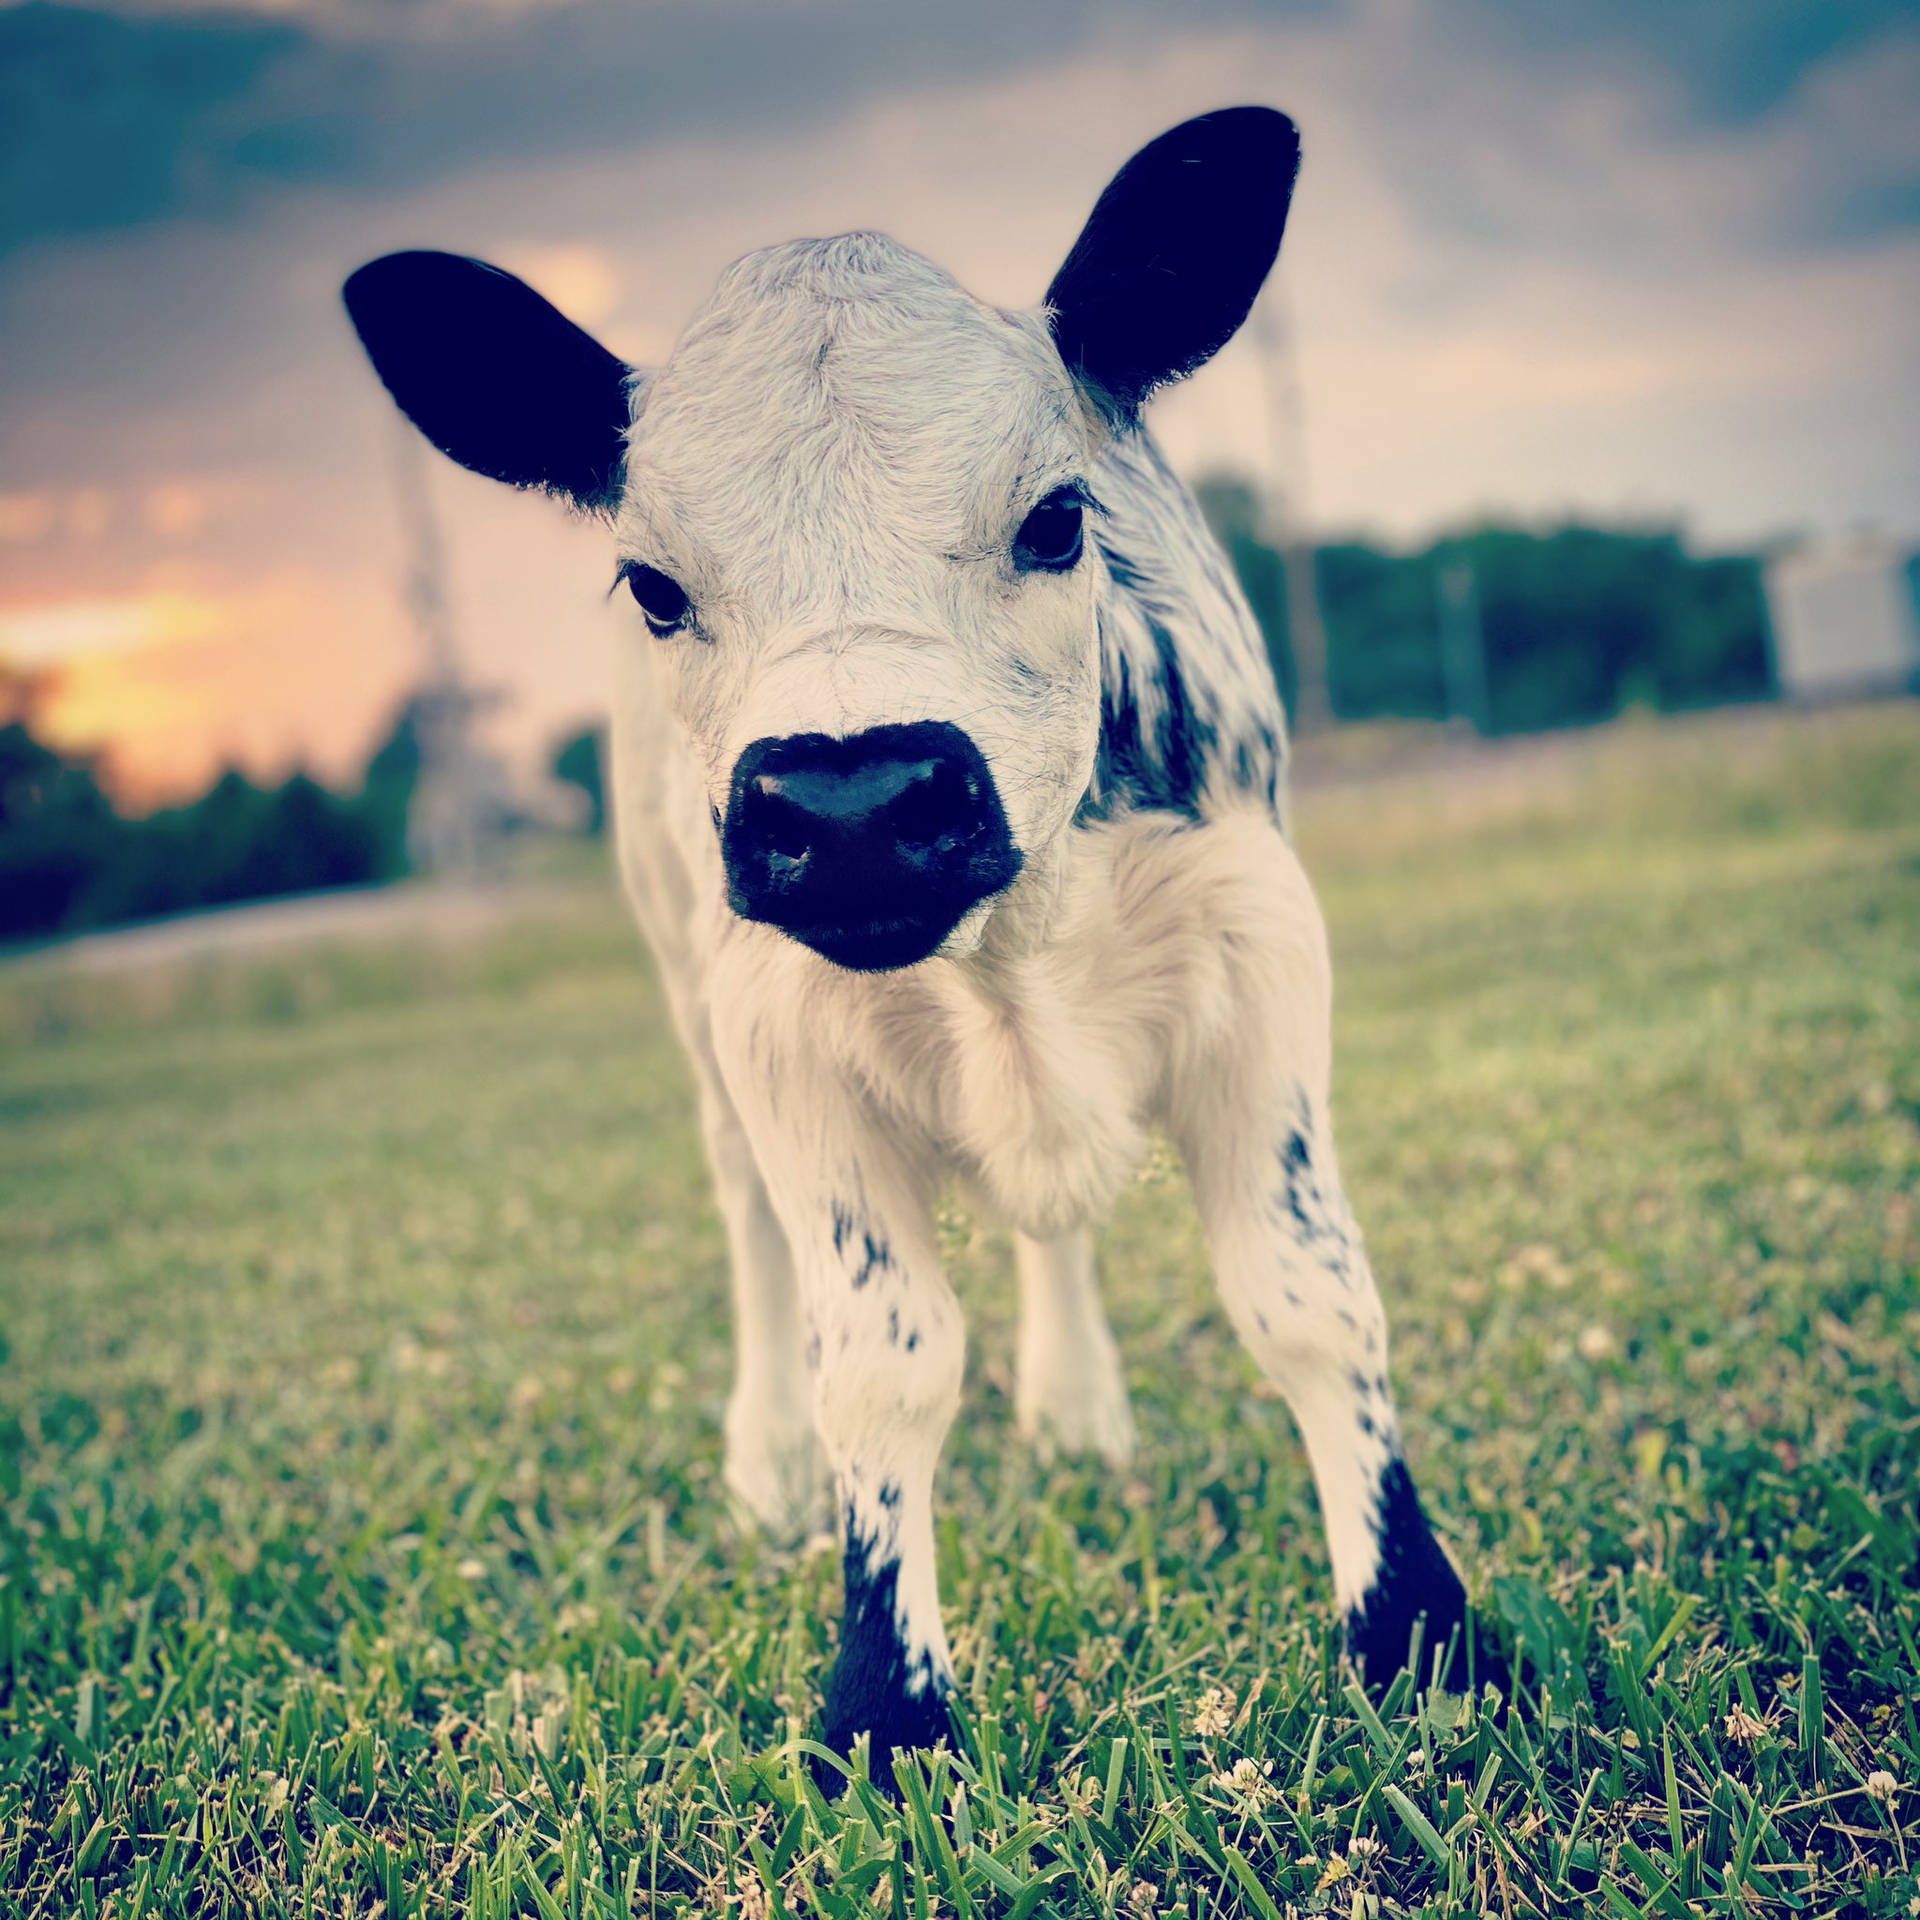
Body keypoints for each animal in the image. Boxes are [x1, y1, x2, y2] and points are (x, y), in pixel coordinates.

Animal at [341, 108, 1482, 1766]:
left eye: (1059, 520)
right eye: (653, 586)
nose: (857, 801)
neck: (1008, 955)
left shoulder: (1264, 948)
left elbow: (1309, 1298)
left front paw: (1420, 1639)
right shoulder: (776, 1038)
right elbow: (879, 1368)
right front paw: (889, 1709)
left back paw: (1076, 1413)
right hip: (693, 1016)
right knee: (748, 1228)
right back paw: (767, 1473)